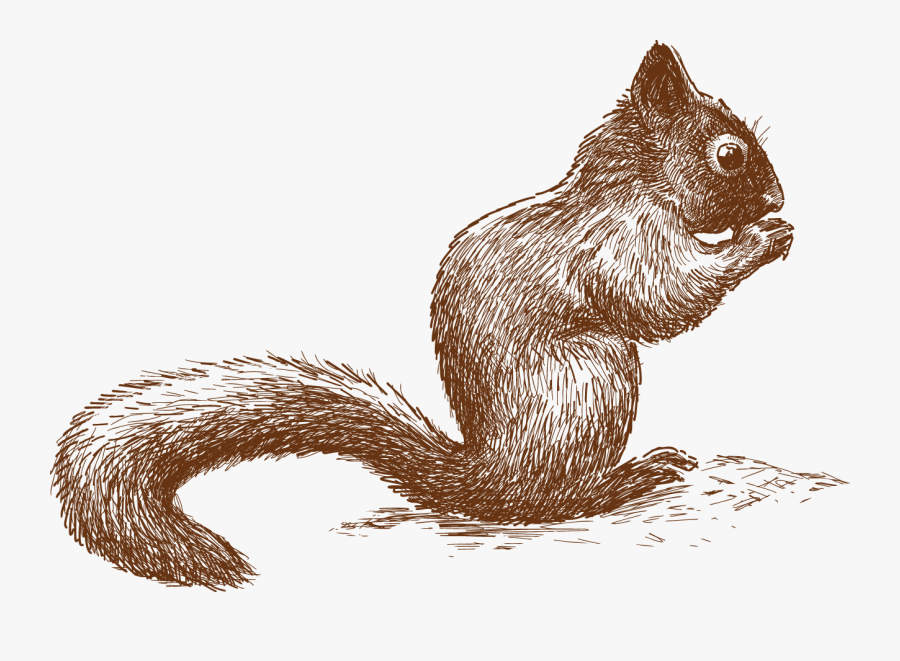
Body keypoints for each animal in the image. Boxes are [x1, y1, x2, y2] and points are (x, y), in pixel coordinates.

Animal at [52, 43, 792, 588]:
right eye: (728, 153)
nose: (779, 197)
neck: (633, 185)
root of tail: (484, 479)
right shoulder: (619, 246)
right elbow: (662, 300)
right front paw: (764, 239)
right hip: (594, 378)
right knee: (552, 503)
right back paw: (631, 478)